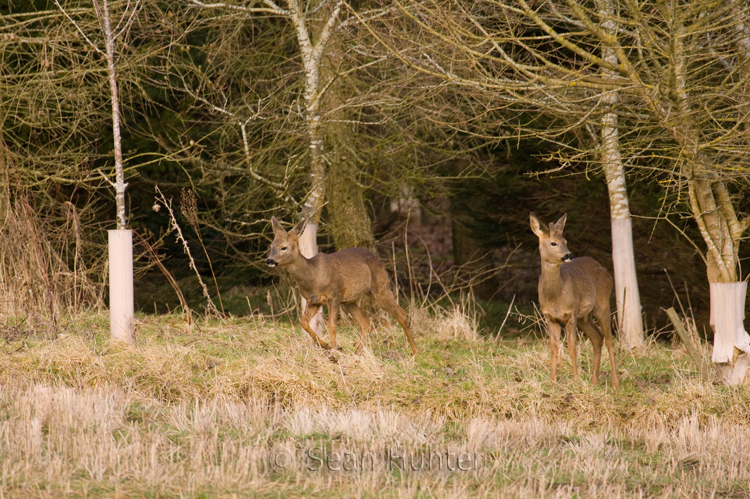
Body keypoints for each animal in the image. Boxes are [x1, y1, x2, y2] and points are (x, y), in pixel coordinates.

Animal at [266, 218, 420, 356]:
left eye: (283, 247)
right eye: (271, 246)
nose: (269, 260)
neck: (313, 276)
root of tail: (377, 259)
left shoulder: (334, 295)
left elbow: (332, 326)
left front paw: (334, 351)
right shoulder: (314, 301)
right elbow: (303, 323)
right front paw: (326, 346)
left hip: (380, 288)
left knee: (401, 313)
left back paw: (415, 351)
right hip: (350, 301)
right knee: (366, 323)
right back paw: (356, 353)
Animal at [532, 213, 620, 388]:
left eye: (565, 241)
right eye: (553, 242)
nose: (569, 255)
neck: (555, 295)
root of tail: (604, 270)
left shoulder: (570, 312)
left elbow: (572, 346)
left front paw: (576, 380)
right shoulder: (549, 316)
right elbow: (554, 348)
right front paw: (552, 382)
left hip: (602, 303)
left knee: (609, 341)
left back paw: (615, 384)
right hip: (584, 316)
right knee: (597, 338)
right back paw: (594, 381)